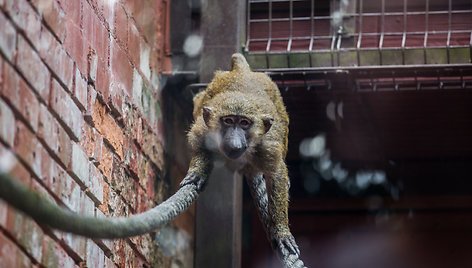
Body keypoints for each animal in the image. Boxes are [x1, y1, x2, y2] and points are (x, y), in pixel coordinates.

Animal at [179, 53, 304, 262]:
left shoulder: (266, 145)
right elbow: (200, 143)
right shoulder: (206, 129)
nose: (235, 141)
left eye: (244, 123)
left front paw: (281, 231)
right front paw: (198, 173)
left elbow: (276, 174)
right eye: (228, 121)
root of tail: (243, 71)